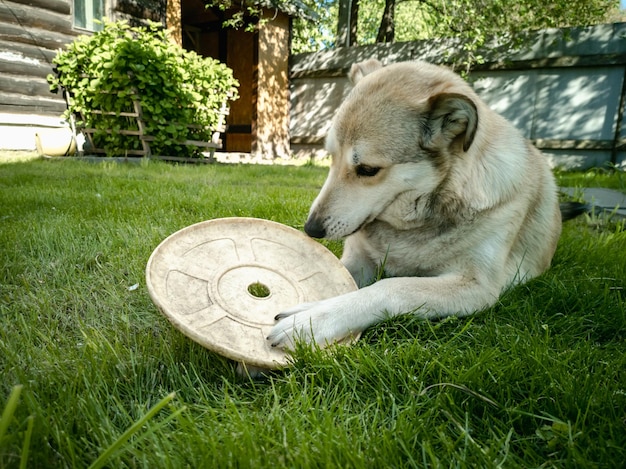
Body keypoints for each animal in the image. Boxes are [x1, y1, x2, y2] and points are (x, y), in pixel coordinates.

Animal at [266, 58, 584, 350]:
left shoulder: (477, 286)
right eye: (331, 157)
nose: (311, 230)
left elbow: (392, 286)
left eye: (368, 170)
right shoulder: (357, 260)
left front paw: (311, 320)